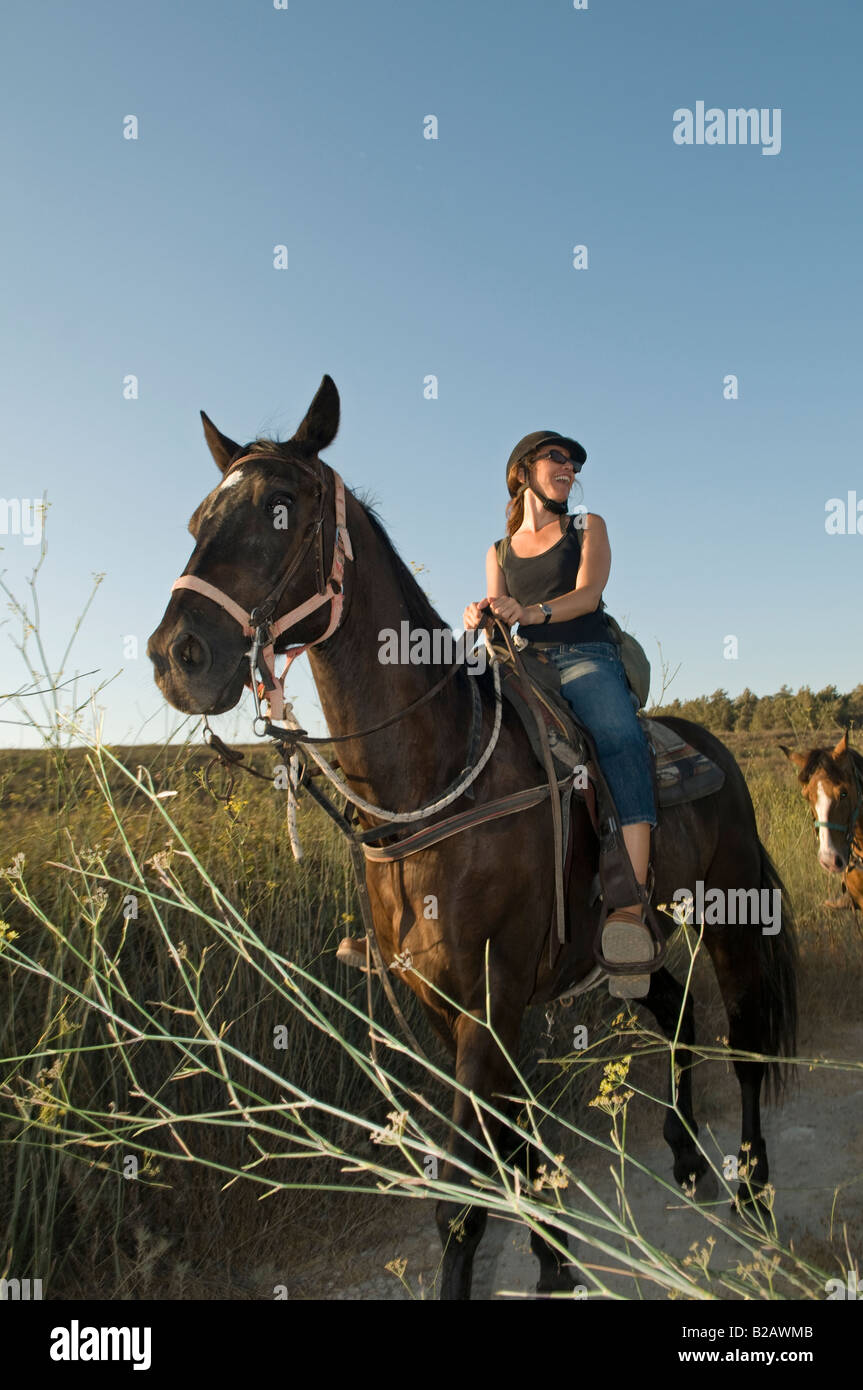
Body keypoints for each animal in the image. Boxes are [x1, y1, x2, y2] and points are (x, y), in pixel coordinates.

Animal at [147, 375, 798, 1300]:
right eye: (198, 517)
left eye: (280, 508)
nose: (178, 656)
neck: (429, 792)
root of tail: (709, 747)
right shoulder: (443, 1008)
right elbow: (516, 1153)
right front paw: (556, 1263)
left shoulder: (490, 1005)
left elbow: (465, 1196)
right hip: (632, 946)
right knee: (673, 1013)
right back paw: (685, 1158)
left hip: (732, 916)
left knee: (743, 1043)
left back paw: (752, 1192)